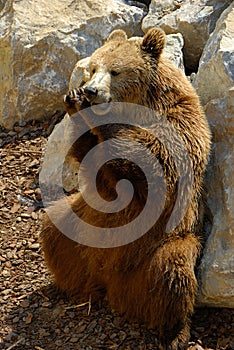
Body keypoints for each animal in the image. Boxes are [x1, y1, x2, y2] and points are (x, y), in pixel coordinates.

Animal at [41, 28, 211, 348]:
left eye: (115, 71)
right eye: (93, 68)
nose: (90, 91)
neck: (144, 105)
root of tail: (113, 286)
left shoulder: (180, 127)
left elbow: (153, 170)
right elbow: (98, 170)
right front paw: (74, 102)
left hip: (166, 243)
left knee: (173, 275)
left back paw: (175, 333)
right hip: (81, 224)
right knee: (54, 230)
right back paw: (65, 285)